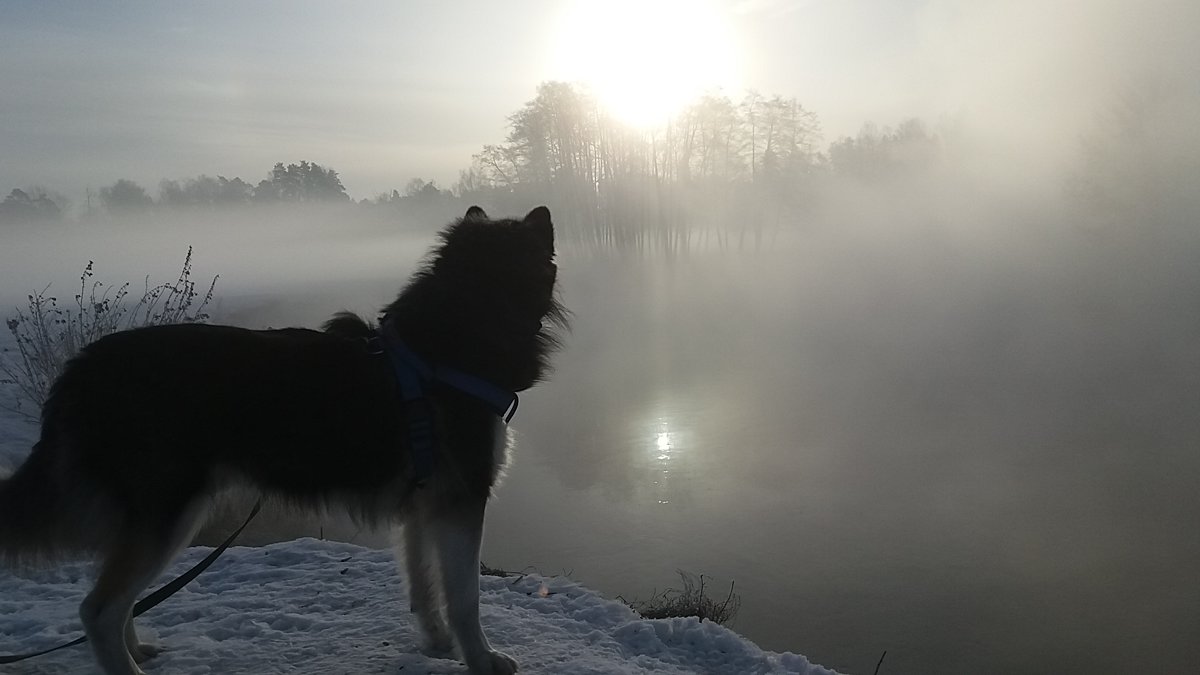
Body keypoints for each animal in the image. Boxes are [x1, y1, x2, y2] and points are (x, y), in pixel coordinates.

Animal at [0, 205, 566, 672]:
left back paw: (138, 649)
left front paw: (437, 643)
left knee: (117, 603)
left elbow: (424, 586)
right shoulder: (462, 500)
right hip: (169, 513)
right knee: (97, 610)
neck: (452, 341)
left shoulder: (425, 506)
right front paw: (481, 659)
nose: (544, 209)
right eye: (532, 241)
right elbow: (466, 597)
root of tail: (82, 367)